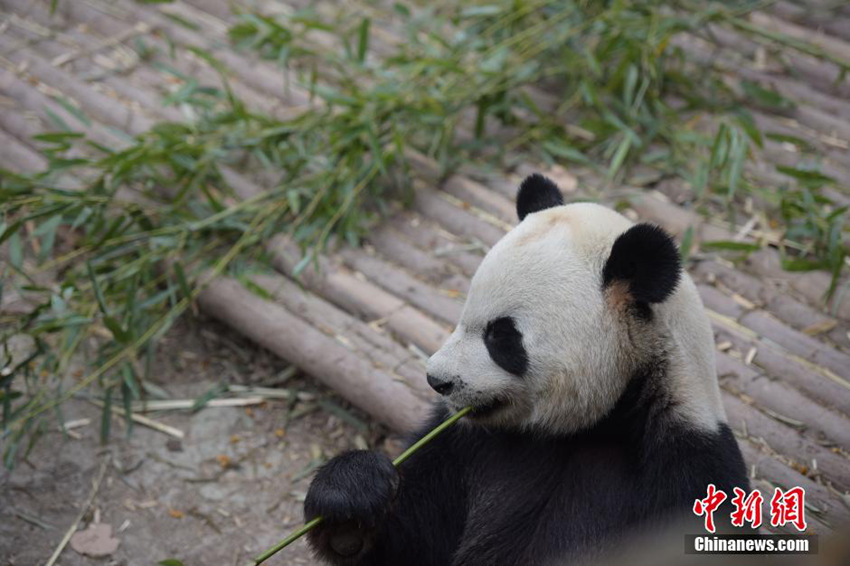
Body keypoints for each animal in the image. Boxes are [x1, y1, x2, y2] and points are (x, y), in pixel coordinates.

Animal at [302, 173, 744, 566]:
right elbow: (411, 541)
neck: (598, 423)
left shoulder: (683, 472)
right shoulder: (466, 447)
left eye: (501, 337)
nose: (437, 381)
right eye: (463, 316)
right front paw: (352, 493)